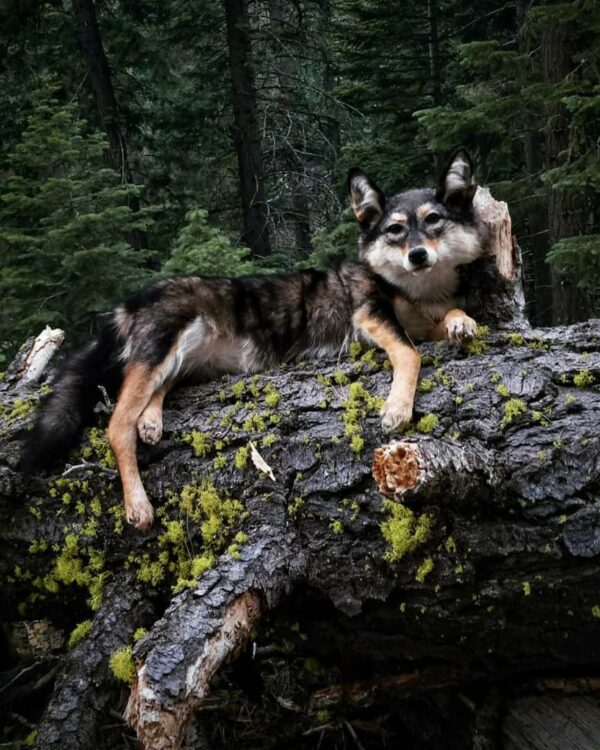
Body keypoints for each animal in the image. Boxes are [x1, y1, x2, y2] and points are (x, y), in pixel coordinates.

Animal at [22, 150, 486, 530]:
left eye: (433, 221)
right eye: (394, 230)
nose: (418, 256)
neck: (414, 289)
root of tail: (132, 300)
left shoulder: (421, 318)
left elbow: (448, 318)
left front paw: (461, 322)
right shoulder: (371, 316)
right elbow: (410, 353)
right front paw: (397, 408)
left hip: (187, 358)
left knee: (154, 393)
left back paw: (151, 421)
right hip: (166, 344)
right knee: (117, 425)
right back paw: (137, 503)